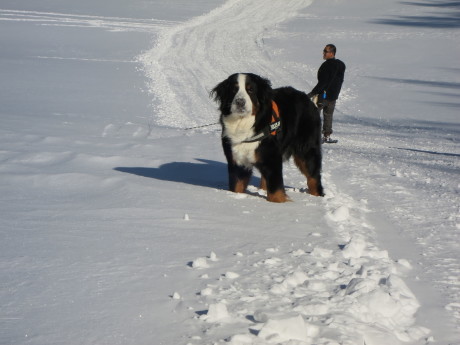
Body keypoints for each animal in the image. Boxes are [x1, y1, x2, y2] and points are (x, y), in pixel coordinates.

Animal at [211, 72, 324, 202]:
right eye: (234, 89)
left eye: (250, 90)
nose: (240, 102)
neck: (243, 124)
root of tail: (307, 99)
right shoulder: (237, 162)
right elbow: (236, 187)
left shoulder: (272, 158)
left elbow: (276, 191)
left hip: (306, 150)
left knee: (313, 177)